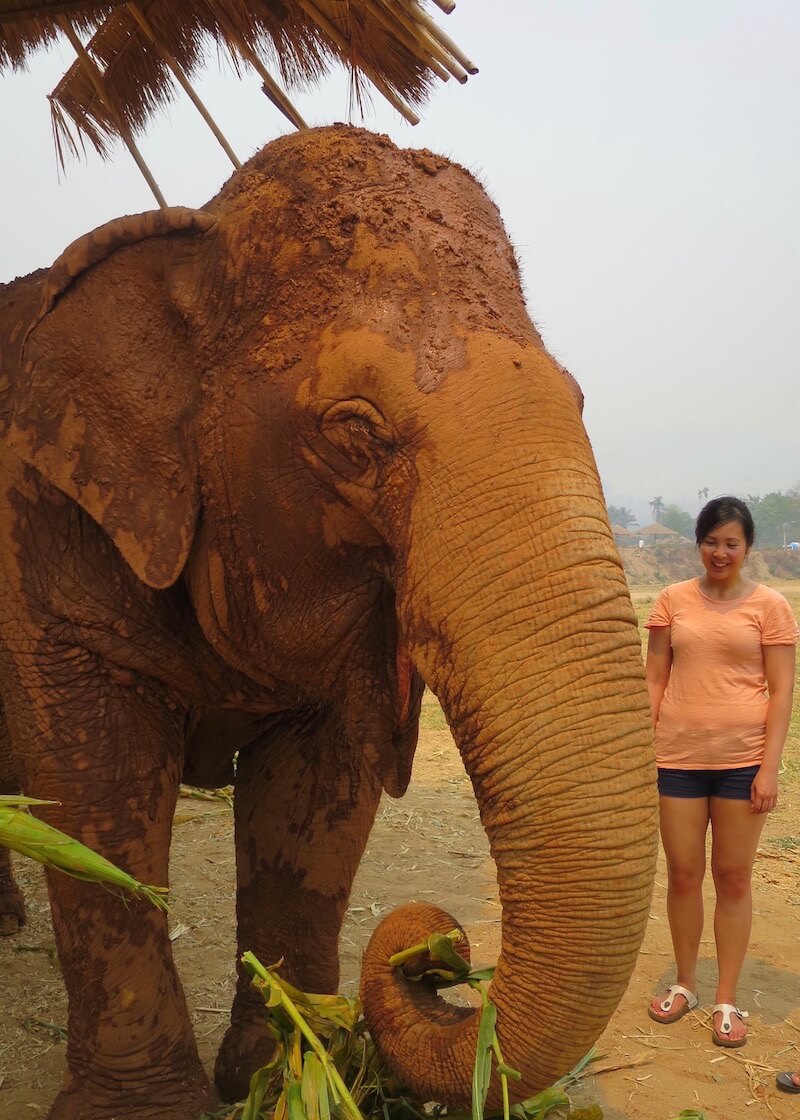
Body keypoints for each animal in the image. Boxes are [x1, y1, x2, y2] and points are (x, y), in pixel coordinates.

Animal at [0, 122, 654, 1120]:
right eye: (354, 433)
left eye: (577, 399)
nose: (441, 952)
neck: (192, 239)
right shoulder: (44, 523)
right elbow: (95, 791)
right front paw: (151, 1109)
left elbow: (318, 796)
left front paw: (286, 1072)